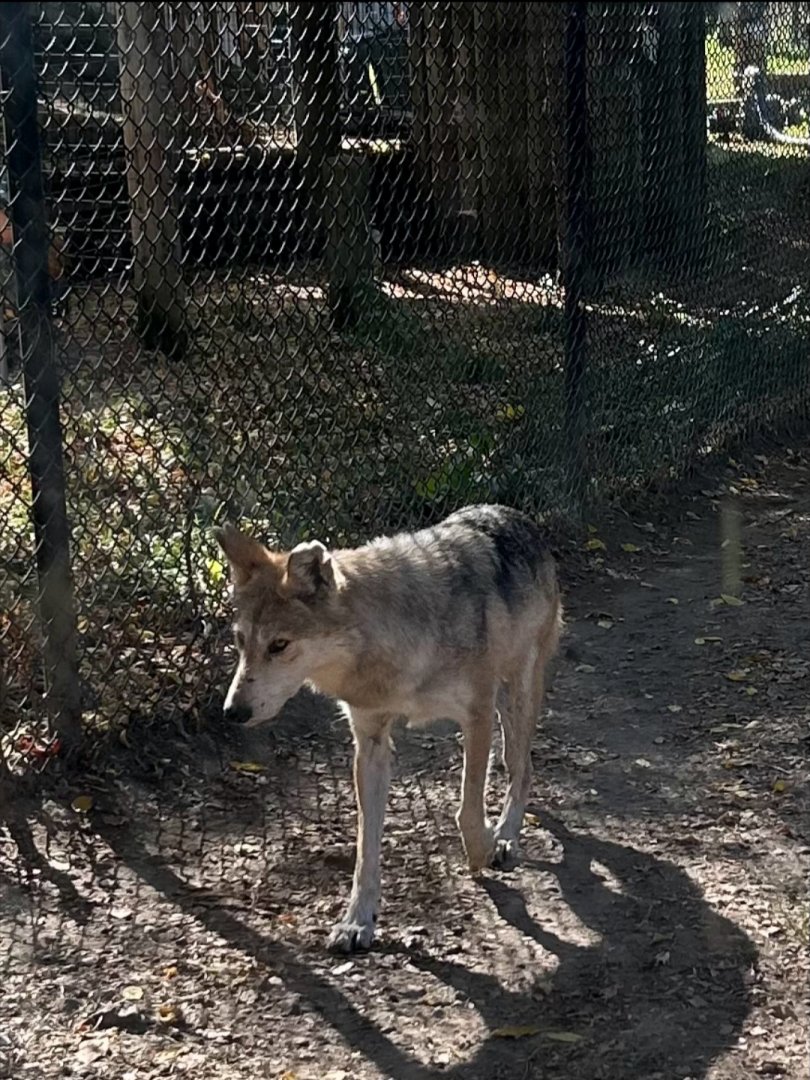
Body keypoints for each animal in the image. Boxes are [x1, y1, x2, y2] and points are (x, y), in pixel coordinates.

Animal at [213, 505, 562, 954]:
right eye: (241, 642)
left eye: (279, 645)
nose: (232, 712)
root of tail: (511, 514)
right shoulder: (371, 742)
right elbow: (367, 847)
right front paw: (357, 921)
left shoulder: (476, 717)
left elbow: (467, 810)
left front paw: (482, 851)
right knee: (515, 760)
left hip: (519, 690)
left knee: (523, 766)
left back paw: (505, 835)